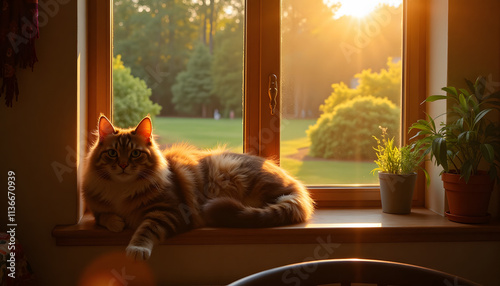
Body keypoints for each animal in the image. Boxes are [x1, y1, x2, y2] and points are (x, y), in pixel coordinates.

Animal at [83, 115, 314, 260]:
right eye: (112, 153)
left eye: (135, 154)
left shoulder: (169, 211)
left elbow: (145, 229)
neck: (123, 188)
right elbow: (103, 217)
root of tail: (296, 184)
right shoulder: (97, 208)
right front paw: (116, 223)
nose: (123, 166)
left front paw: (136, 248)